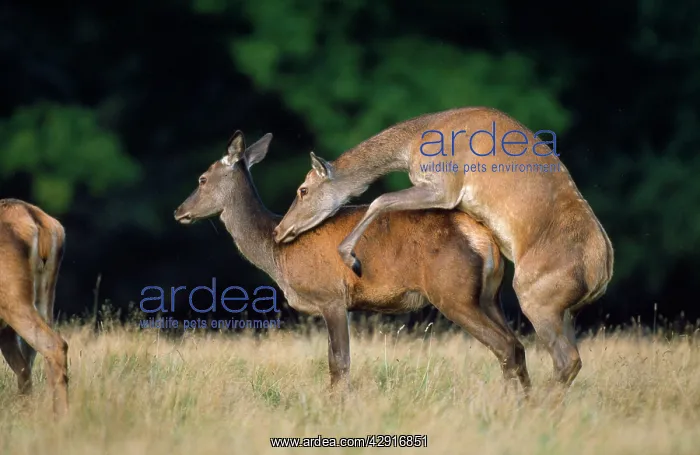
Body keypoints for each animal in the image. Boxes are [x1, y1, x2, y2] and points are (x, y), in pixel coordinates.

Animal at [174, 130, 531, 393]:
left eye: (202, 179)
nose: (179, 211)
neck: (277, 255)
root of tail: (484, 239)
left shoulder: (331, 295)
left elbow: (339, 363)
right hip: (489, 296)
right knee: (518, 345)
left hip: (452, 292)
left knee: (505, 346)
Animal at [272, 106, 614, 389]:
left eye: (303, 190)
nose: (278, 231)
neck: (412, 145)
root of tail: (603, 271)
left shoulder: (444, 183)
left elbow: (380, 199)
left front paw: (350, 258)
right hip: (565, 309)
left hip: (537, 295)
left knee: (565, 358)